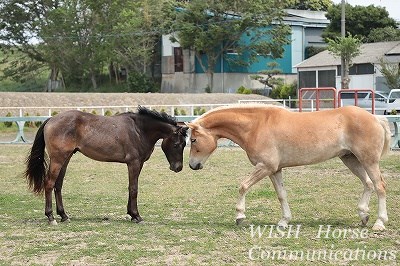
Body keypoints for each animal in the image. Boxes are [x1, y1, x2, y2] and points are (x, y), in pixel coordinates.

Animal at [24, 106, 188, 224]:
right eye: (176, 144)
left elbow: (130, 187)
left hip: (65, 159)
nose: (178, 168)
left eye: (185, 144)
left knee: (58, 185)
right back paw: (51, 217)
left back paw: (64, 215)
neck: (139, 129)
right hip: (58, 159)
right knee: (49, 183)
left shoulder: (137, 164)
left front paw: (131, 214)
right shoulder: (134, 163)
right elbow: (134, 188)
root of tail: (51, 119)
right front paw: (137, 216)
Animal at [188, 105, 390, 230]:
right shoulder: (274, 170)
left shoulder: (265, 167)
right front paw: (284, 221)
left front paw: (240, 216)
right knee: (368, 184)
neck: (255, 126)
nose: (192, 165)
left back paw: (380, 222)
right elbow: (281, 195)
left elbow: (243, 186)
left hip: (368, 161)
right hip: (351, 160)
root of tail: (375, 118)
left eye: (193, 140)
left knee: (379, 187)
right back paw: (363, 215)